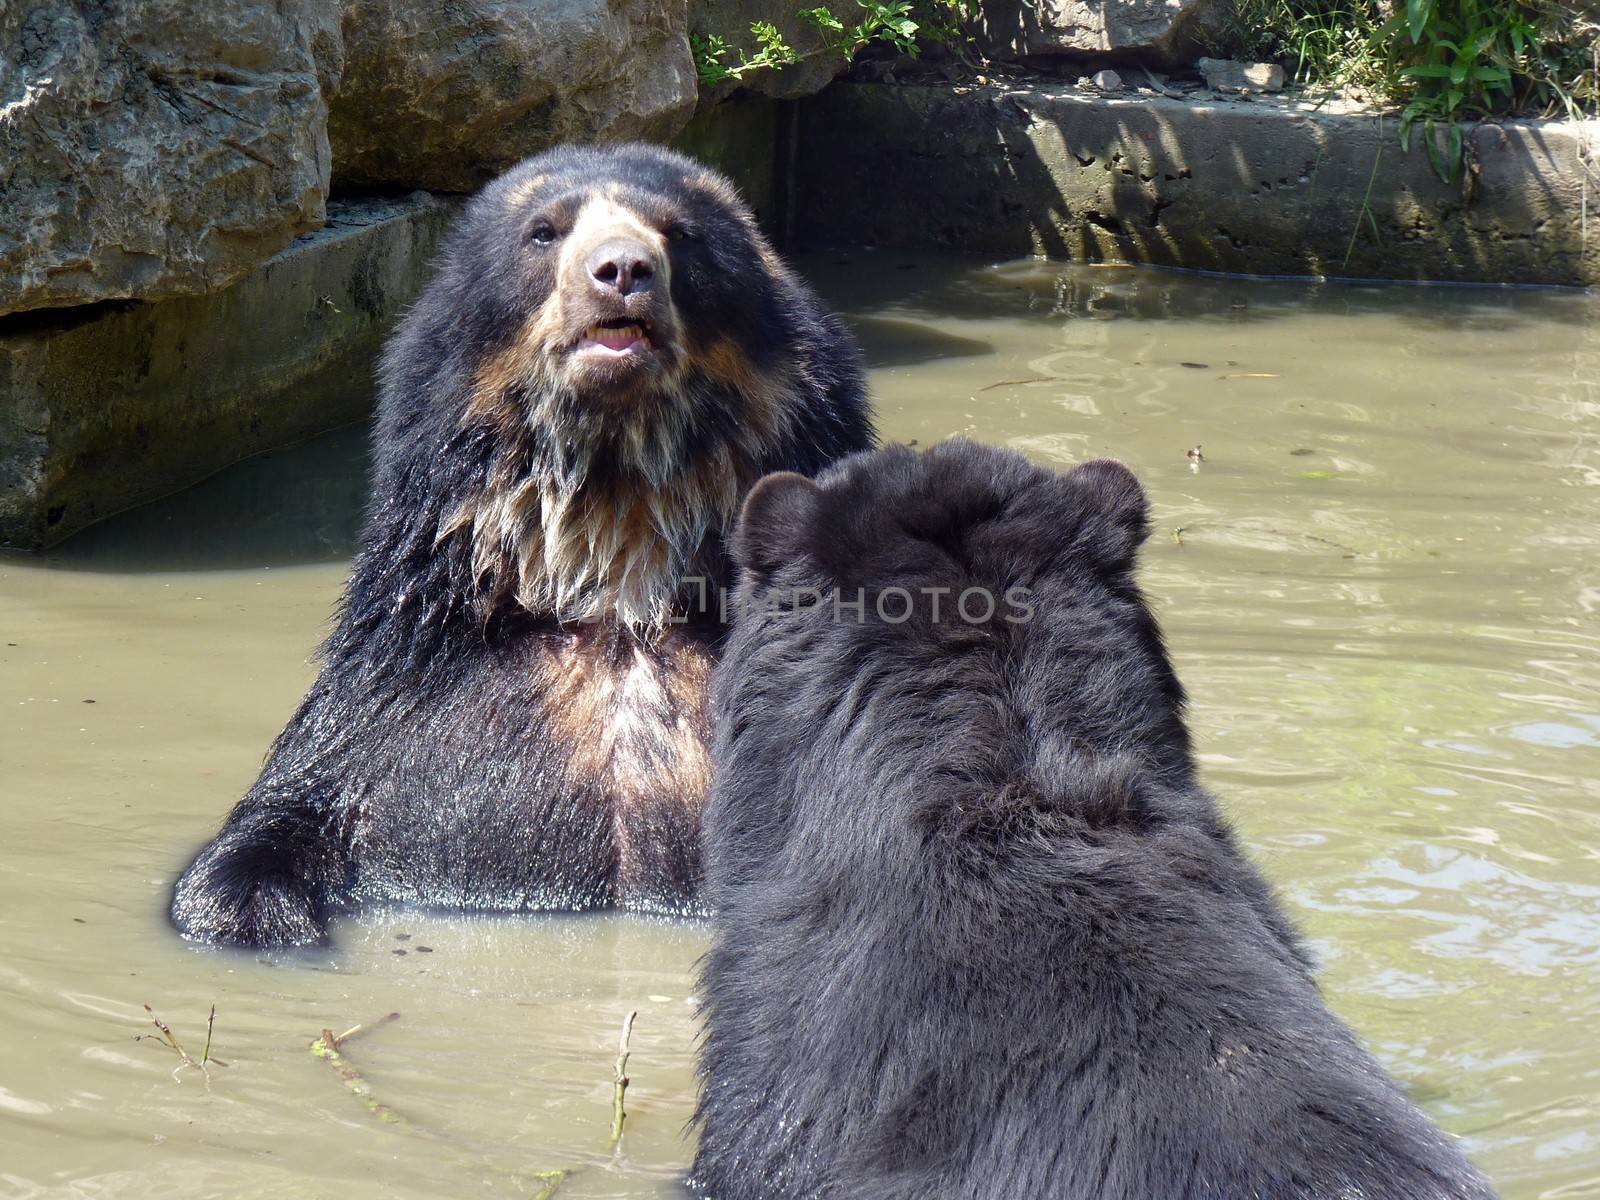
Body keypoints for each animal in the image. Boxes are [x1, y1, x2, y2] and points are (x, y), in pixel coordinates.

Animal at [172, 143, 876, 947]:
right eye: (544, 231)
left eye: (681, 231)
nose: (622, 269)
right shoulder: (400, 707)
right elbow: (293, 805)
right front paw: (252, 908)